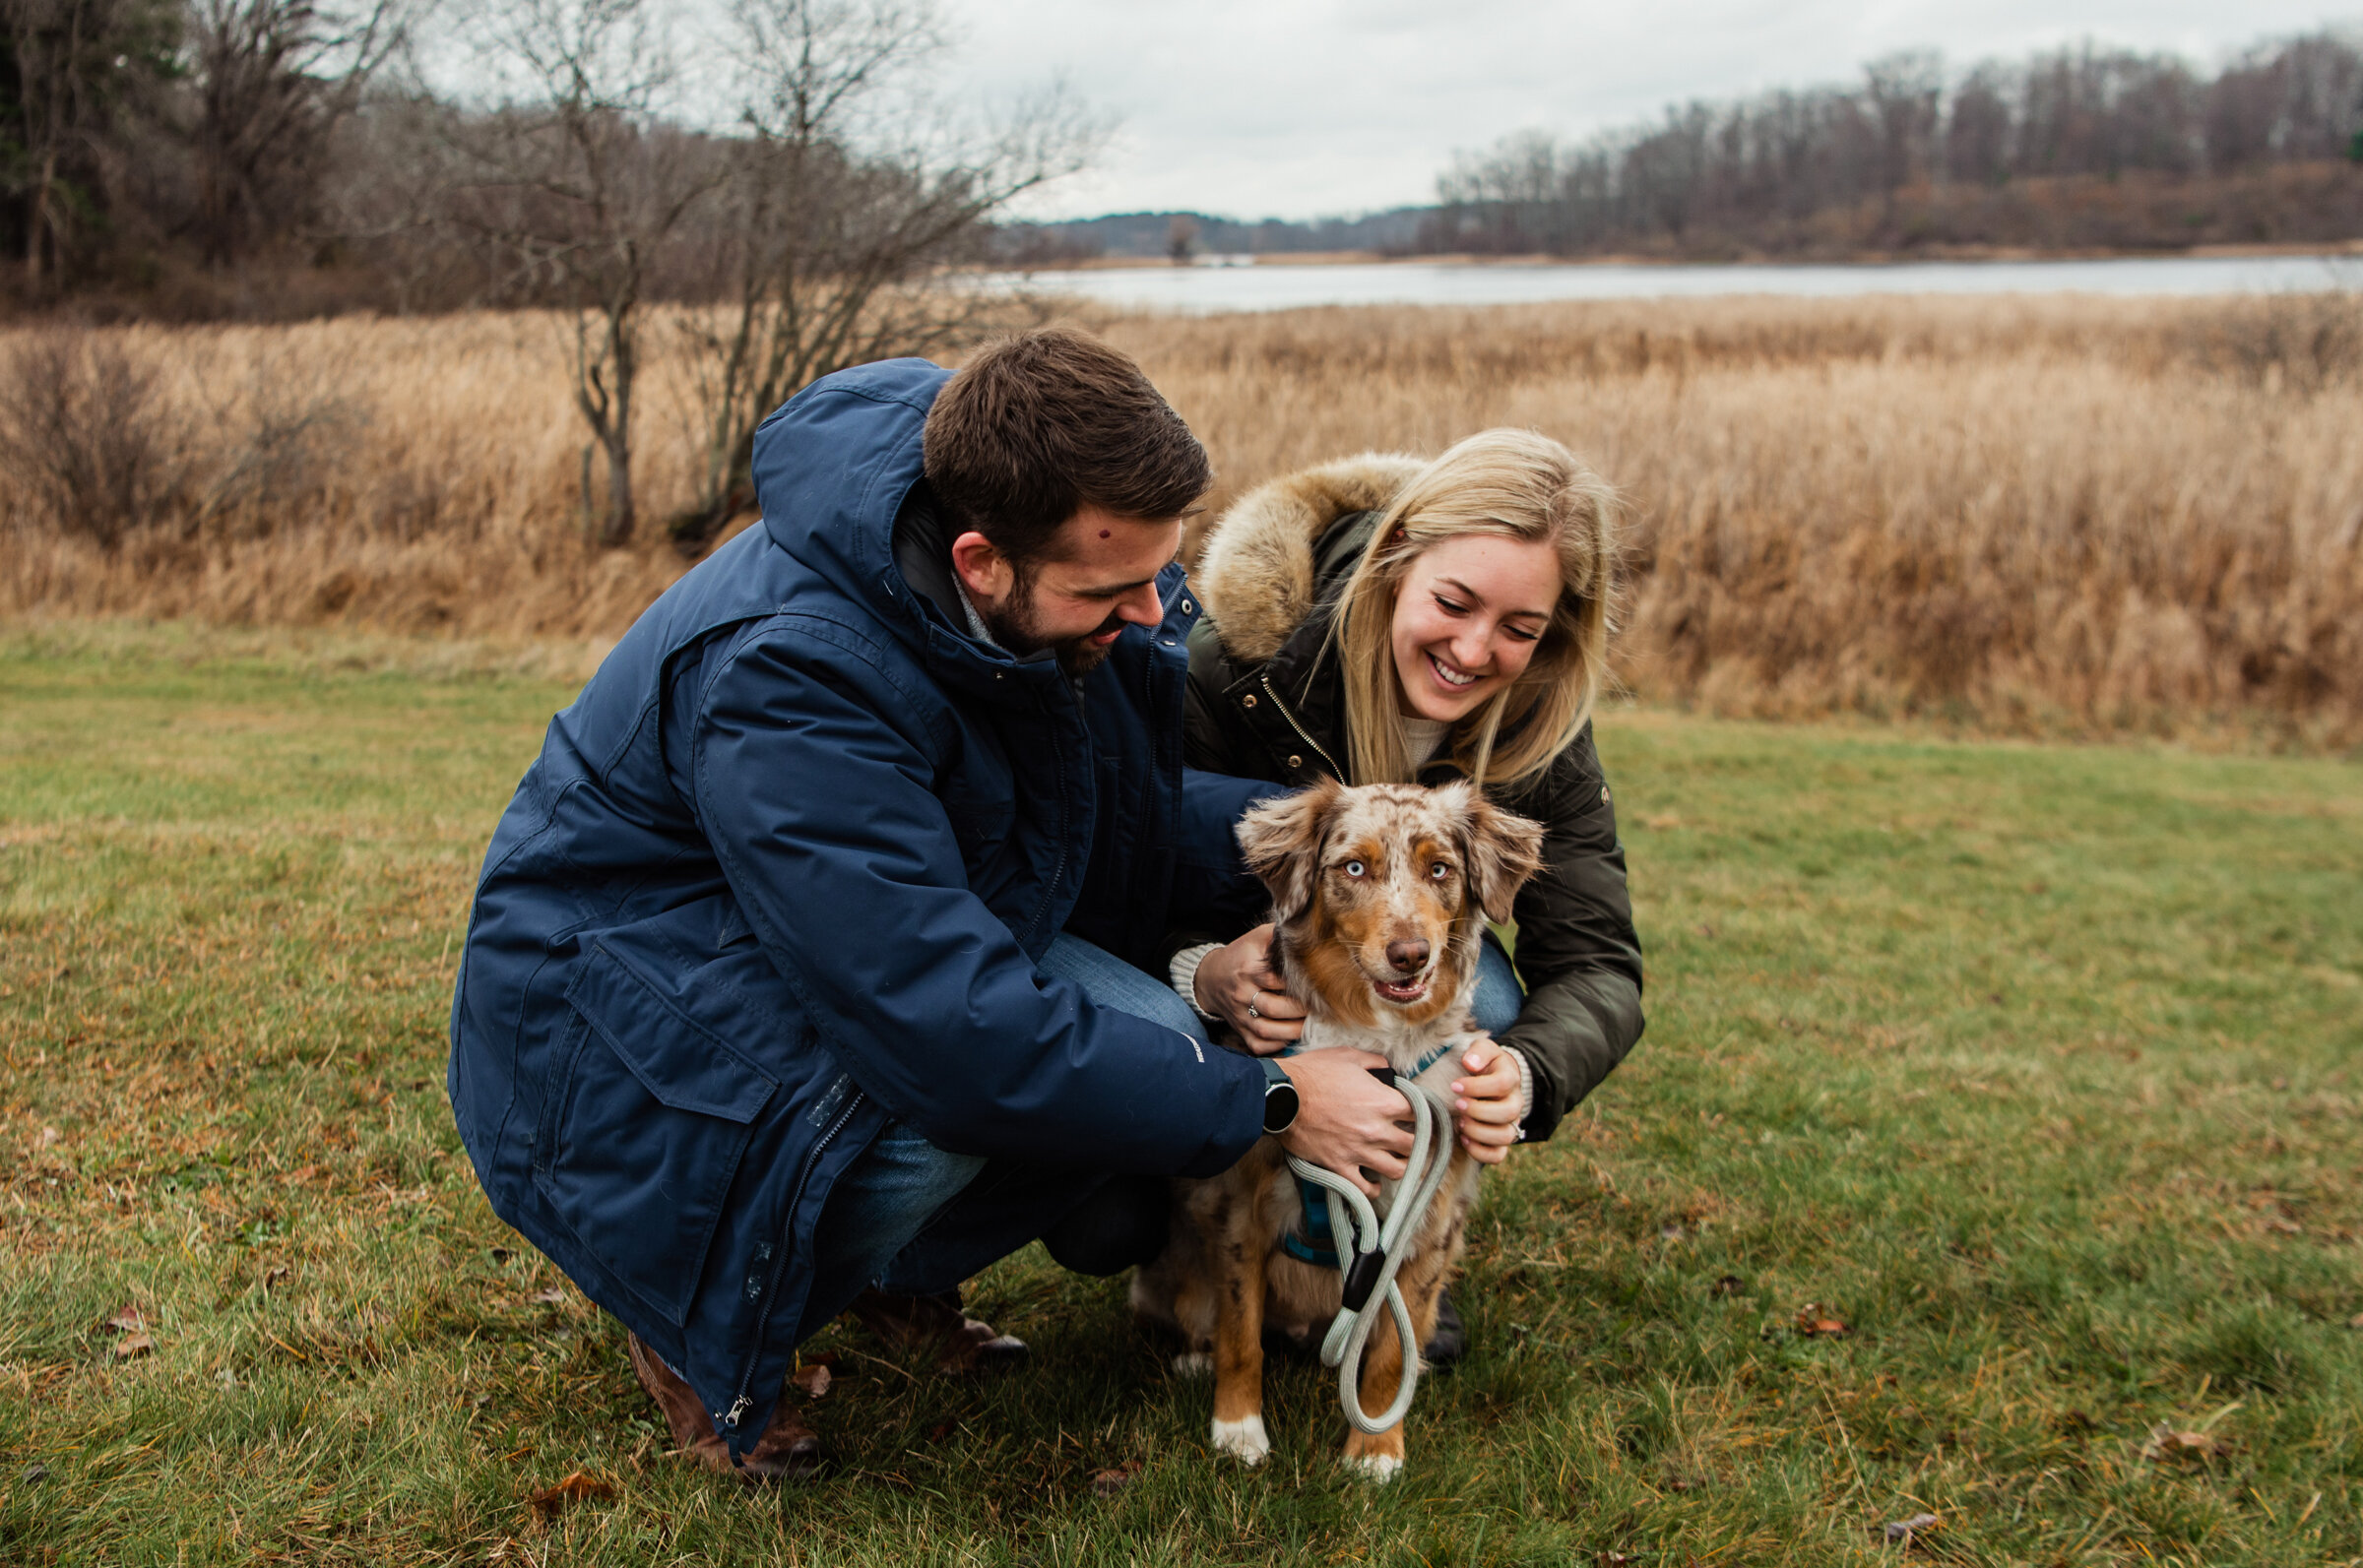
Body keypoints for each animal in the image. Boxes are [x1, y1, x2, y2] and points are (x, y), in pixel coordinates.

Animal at [1129, 779, 1540, 1474]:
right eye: (1353, 868)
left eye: (1440, 870)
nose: (1410, 955)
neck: (1377, 1051)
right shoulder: (1239, 1209)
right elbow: (1241, 1334)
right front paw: (1237, 1429)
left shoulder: (1427, 1225)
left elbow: (1390, 1353)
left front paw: (1375, 1450)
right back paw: (1194, 1356)